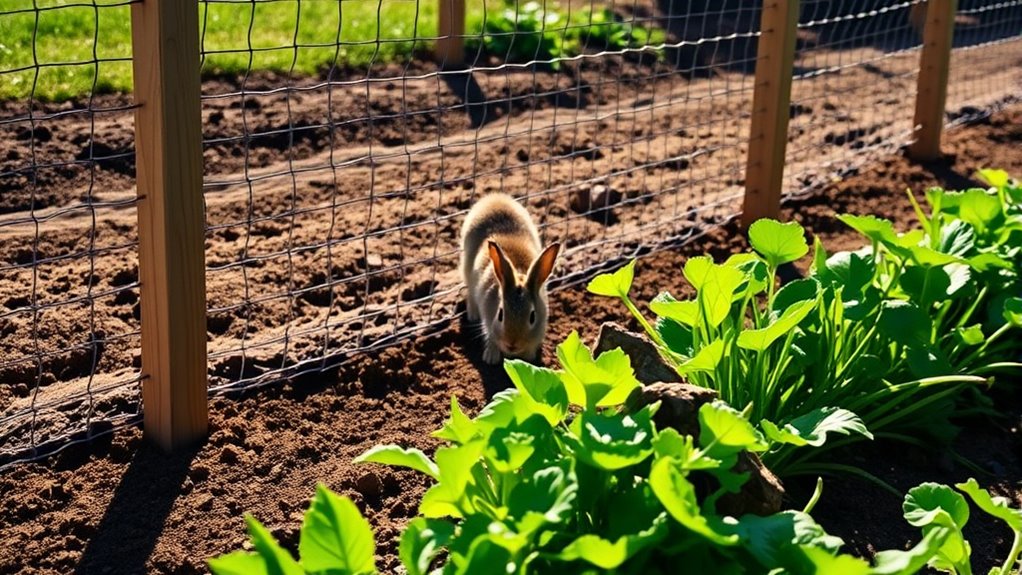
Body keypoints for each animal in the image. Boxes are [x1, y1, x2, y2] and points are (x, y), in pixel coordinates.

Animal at [460, 193, 560, 365]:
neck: (518, 275)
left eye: (532, 317)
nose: (512, 344)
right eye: (500, 314)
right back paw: (472, 314)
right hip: (467, 267)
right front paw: (491, 358)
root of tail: (495, 198)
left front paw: (528, 357)